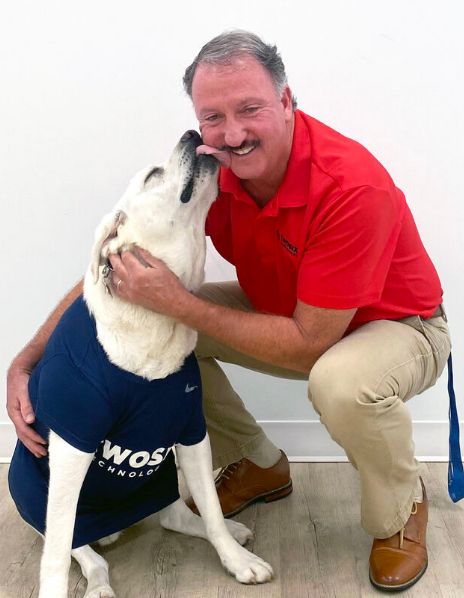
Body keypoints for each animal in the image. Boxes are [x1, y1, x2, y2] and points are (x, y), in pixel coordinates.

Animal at [8, 132, 272, 598]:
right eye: (153, 175)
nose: (192, 134)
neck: (153, 323)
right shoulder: (72, 446)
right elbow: (55, 556)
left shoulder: (191, 430)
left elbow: (211, 508)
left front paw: (236, 560)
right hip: (33, 495)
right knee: (80, 549)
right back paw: (97, 582)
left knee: (175, 514)